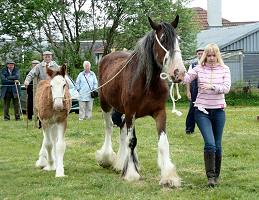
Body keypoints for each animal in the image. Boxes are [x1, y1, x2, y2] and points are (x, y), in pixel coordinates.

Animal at [96, 15, 186, 188]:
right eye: (163, 39)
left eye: (178, 39)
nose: (179, 73)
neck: (147, 82)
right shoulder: (131, 112)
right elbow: (132, 141)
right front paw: (131, 173)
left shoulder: (159, 112)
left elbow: (163, 142)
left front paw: (168, 176)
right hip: (106, 105)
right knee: (109, 128)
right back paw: (107, 158)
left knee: (122, 130)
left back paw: (120, 164)